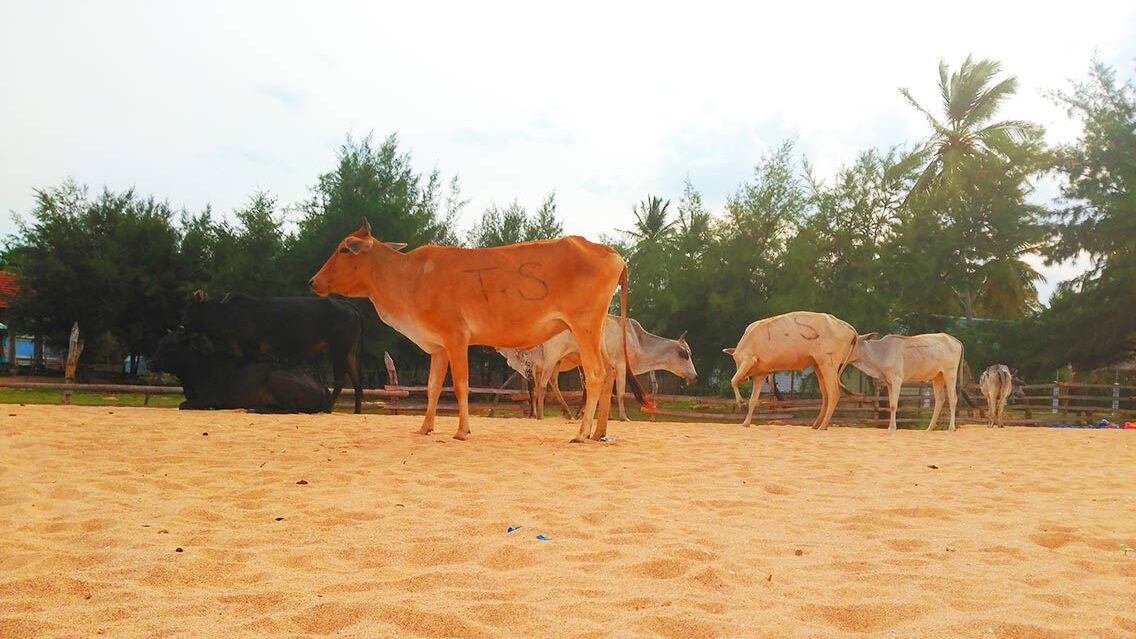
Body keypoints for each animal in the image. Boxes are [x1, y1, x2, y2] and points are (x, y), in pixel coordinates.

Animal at [144, 327, 327, 413]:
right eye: (159, 342)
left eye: (171, 345)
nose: (149, 363)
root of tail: (323, 388)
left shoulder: (214, 399)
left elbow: (183, 404)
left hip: (277, 378)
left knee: (291, 409)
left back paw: (257, 409)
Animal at [180, 291, 363, 409]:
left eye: (190, 308)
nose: (181, 327)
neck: (226, 314)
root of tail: (347, 304)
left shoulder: (251, 348)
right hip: (350, 351)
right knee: (357, 381)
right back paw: (356, 411)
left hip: (339, 348)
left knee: (340, 380)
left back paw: (329, 408)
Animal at [311, 221, 654, 441]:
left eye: (344, 249)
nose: (313, 281)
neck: (411, 276)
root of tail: (609, 252)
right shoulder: (438, 347)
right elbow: (433, 386)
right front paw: (424, 428)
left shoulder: (456, 338)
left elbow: (461, 384)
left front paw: (462, 431)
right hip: (594, 331)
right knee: (609, 374)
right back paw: (600, 433)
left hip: (584, 327)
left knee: (596, 374)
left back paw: (581, 433)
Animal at [499, 313, 695, 418]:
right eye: (685, 354)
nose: (695, 376)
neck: (636, 340)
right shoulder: (620, 365)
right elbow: (621, 394)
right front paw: (623, 417)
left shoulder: (611, 369)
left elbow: (608, 394)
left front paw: (607, 416)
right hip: (550, 360)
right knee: (541, 385)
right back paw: (540, 414)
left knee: (550, 382)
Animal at [722, 309, 854, 427]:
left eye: (735, 359)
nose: (745, 378)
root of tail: (846, 326)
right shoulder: (761, 374)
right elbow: (753, 400)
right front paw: (746, 423)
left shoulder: (748, 360)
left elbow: (733, 380)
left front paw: (741, 402)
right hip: (818, 365)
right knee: (826, 394)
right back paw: (816, 425)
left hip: (828, 363)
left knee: (833, 394)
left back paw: (823, 426)